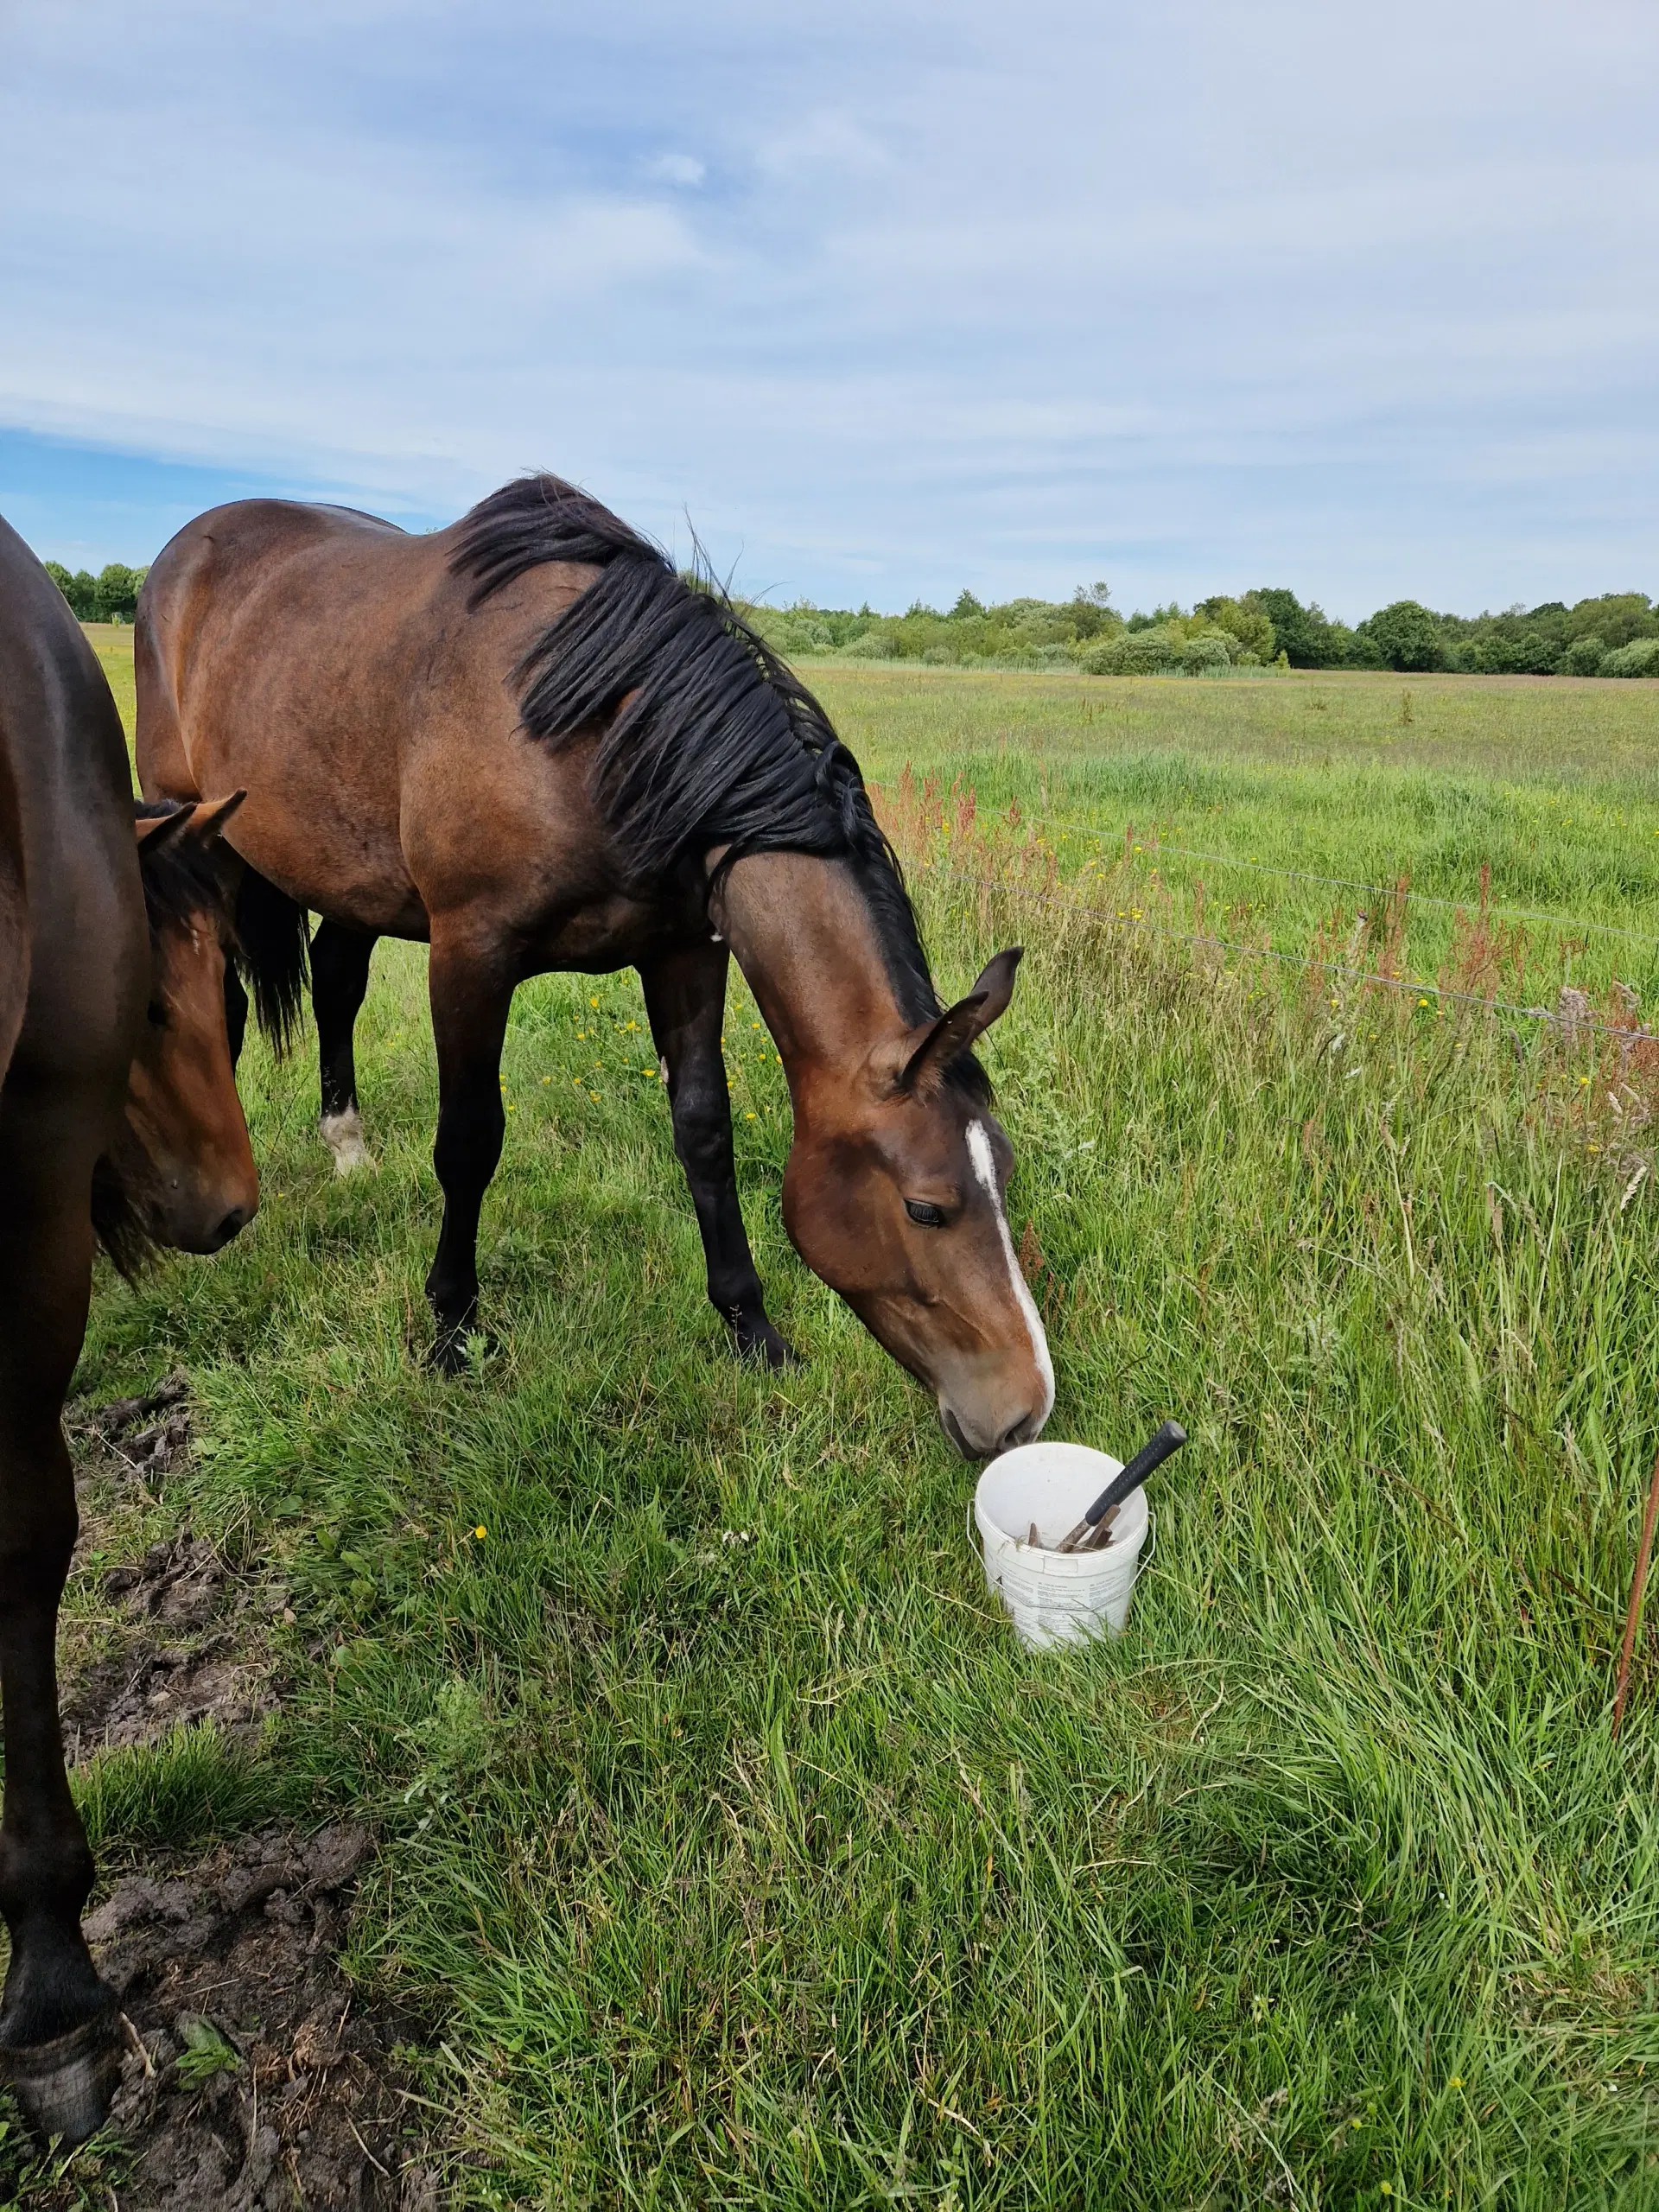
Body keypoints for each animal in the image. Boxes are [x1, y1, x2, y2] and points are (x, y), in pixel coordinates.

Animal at [139, 475, 1052, 1459]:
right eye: (927, 1207)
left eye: (1001, 1173)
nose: (1024, 1411)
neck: (594, 733)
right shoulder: (470, 954)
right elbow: (469, 1141)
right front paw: (452, 1327)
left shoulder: (685, 953)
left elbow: (704, 1132)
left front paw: (752, 1329)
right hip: (188, 826)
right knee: (222, 1002)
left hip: (354, 876)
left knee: (337, 981)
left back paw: (346, 1143)